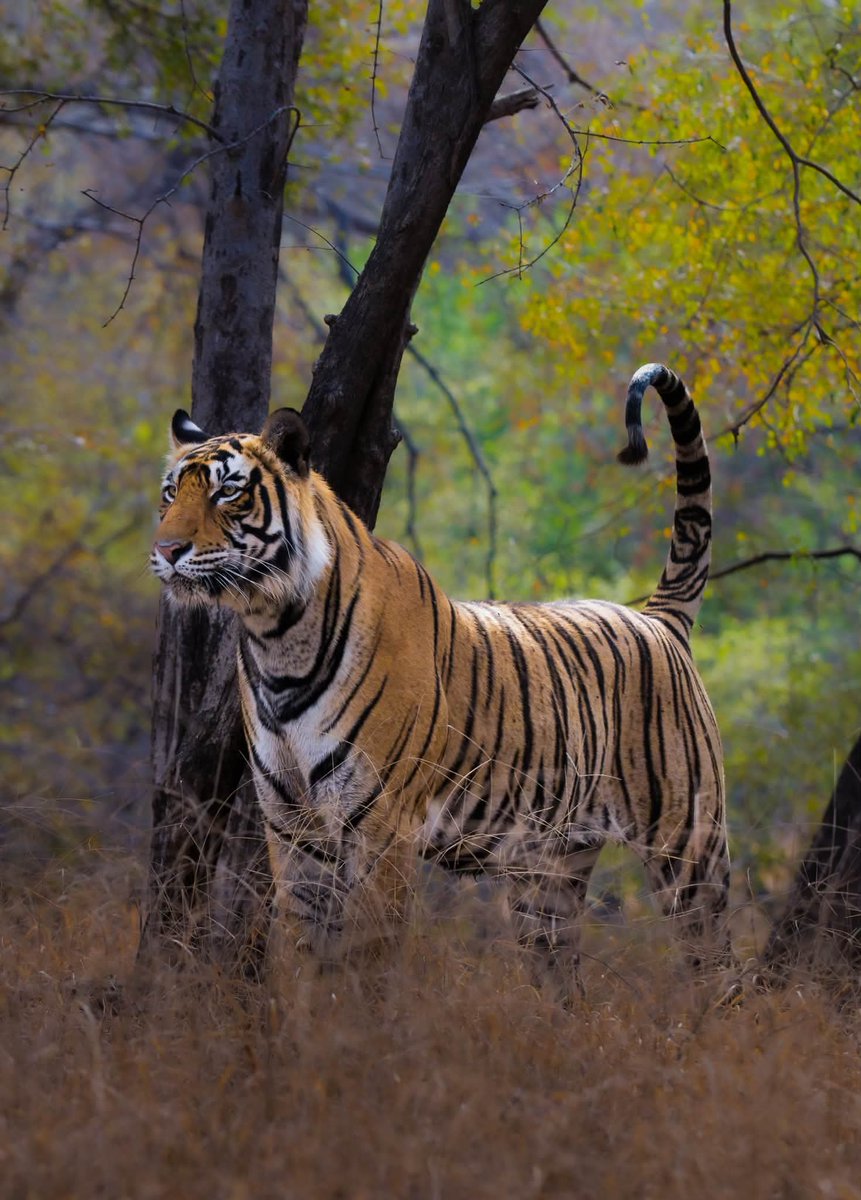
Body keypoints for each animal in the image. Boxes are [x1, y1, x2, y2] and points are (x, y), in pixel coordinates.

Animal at [151, 363, 731, 996]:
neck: (274, 633)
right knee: (559, 976)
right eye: (170, 492)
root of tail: (657, 618)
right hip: (550, 871)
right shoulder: (293, 829)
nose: (166, 549)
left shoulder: (379, 827)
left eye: (227, 492)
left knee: (721, 969)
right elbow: (304, 958)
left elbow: (366, 961)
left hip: (689, 844)